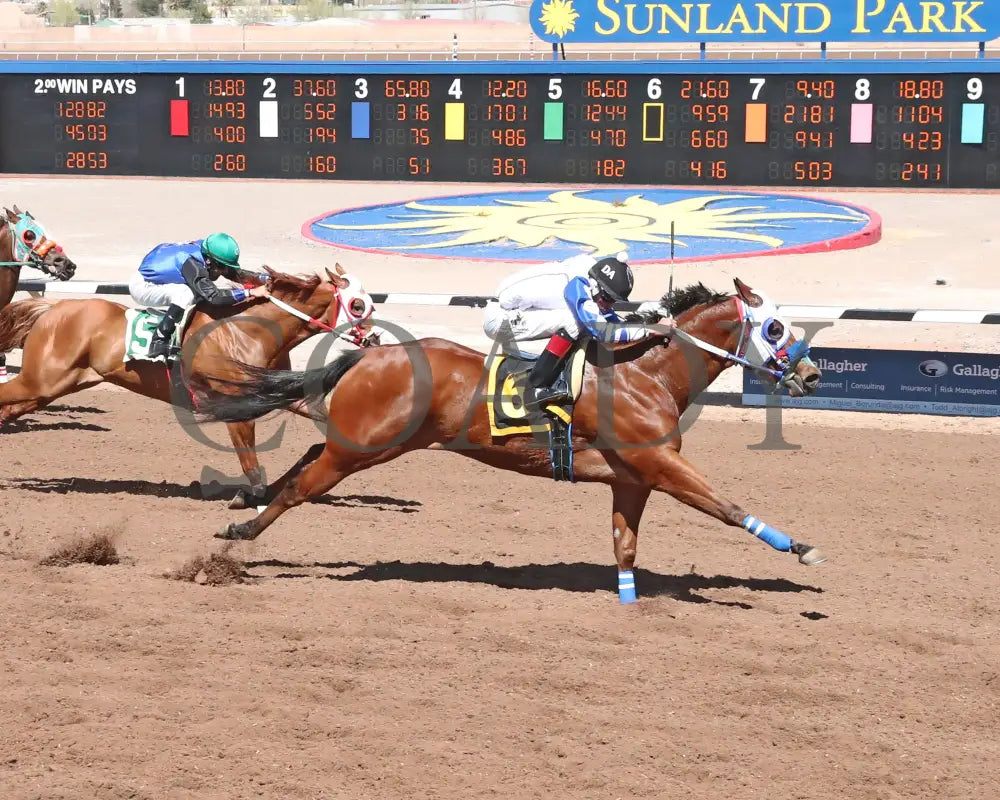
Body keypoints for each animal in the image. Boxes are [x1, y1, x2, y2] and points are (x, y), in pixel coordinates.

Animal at [0, 266, 378, 510]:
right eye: (358, 305)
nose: (374, 339)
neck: (248, 331)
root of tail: (54, 307)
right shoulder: (235, 408)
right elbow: (252, 469)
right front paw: (248, 498)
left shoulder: (273, 390)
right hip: (40, 380)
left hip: (52, 386)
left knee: (9, 410)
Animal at [191, 278, 824, 604]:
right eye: (774, 327)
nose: (812, 375)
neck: (646, 374)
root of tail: (371, 354)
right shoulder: (660, 465)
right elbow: (727, 507)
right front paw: (799, 547)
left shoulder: (634, 480)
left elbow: (624, 546)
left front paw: (627, 599)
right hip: (363, 447)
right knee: (302, 489)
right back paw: (239, 534)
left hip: (365, 442)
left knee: (303, 464)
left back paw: (247, 500)